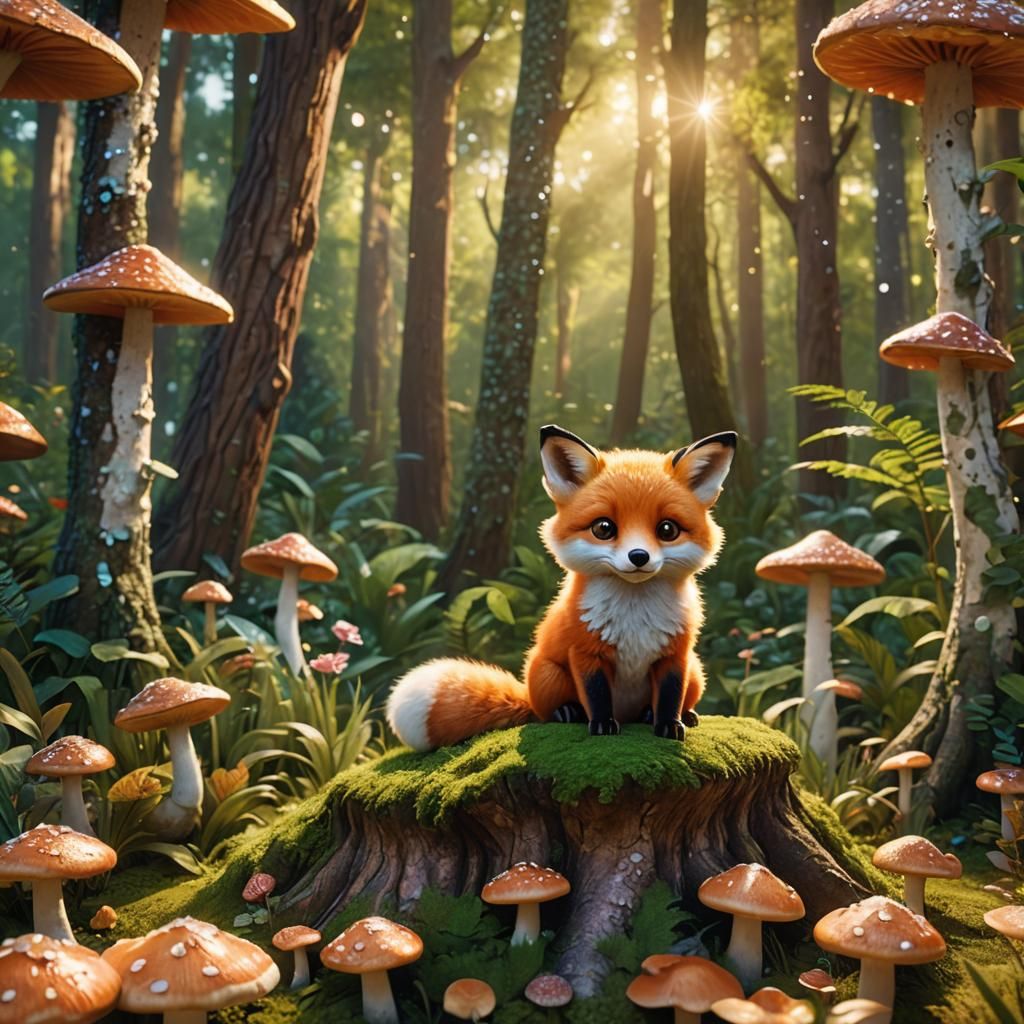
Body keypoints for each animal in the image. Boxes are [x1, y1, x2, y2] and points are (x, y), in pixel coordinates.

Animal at [386, 424, 737, 751]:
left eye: (667, 530)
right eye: (604, 528)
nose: (639, 556)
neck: (634, 617)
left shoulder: (676, 654)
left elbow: (669, 696)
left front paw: (669, 725)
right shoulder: (584, 652)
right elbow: (596, 695)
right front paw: (602, 726)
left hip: (696, 672)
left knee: (671, 701)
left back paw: (672, 715)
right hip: (546, 673)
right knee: (545, 712)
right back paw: (567, 713)